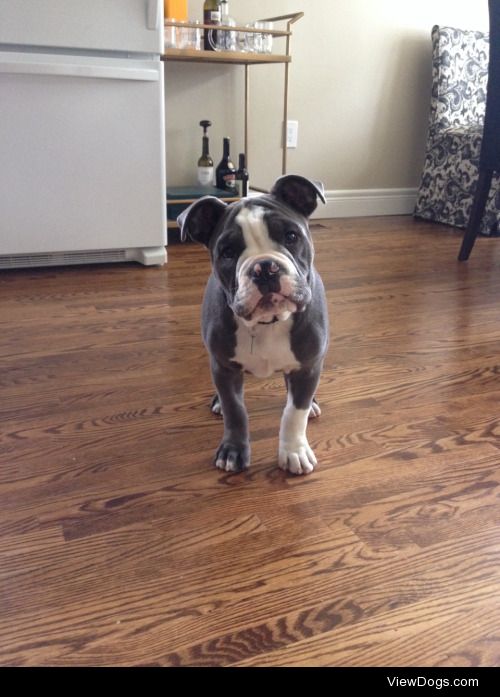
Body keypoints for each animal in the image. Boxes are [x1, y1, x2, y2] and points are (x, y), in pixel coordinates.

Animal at [179, 177, 328, 476]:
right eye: (227, 253)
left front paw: (293, 451)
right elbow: (235, 411)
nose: (265, 267)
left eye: (291, 237)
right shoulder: (224, 368)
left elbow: (294, 413)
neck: (267, 323)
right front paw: (233, 450)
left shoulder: (308, 365)